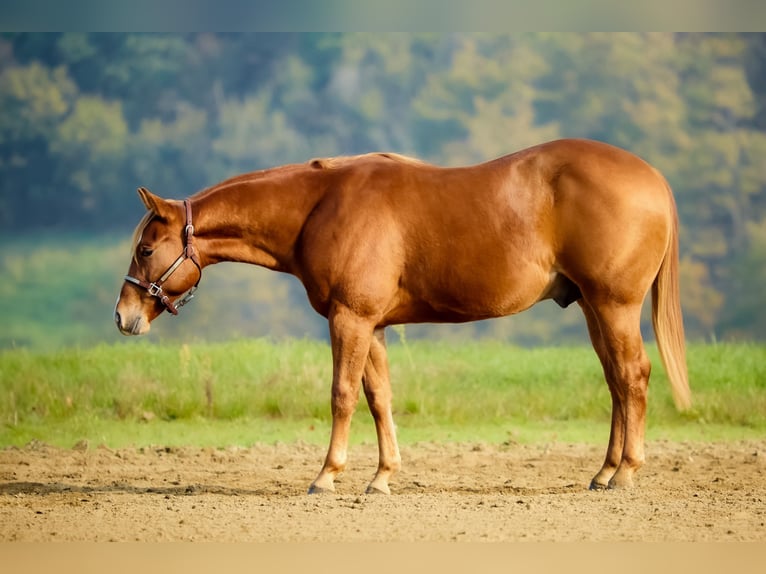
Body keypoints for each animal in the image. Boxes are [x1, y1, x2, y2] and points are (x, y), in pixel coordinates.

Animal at [114, 138, 690, 494]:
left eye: (145, 249)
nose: (123, 317)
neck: (319, 206)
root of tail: (654, 179)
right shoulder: (373, 325)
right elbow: (379, 399)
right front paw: (383, 476)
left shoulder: (349, 319)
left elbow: (343, 396)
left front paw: (327, 475)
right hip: (594, 308)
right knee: (617, 382)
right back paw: (605, 471)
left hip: (613, 306)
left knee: (633, 376)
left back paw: (626, 472)